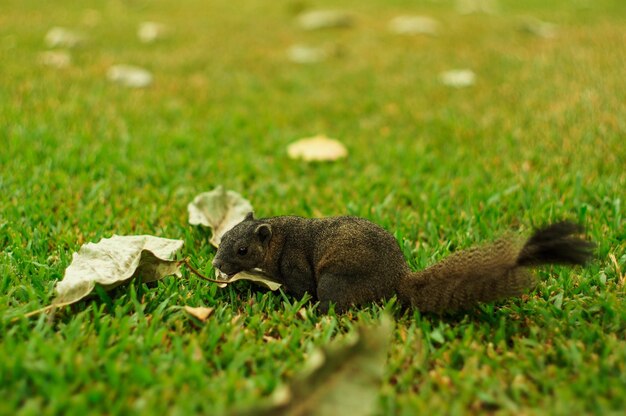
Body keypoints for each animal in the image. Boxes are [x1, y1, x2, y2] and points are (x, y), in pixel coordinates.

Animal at [210, 213, 588, 314]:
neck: (281, 237)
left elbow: (301, 288)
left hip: (334, 281)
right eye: (223, 236)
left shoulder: (296, 268)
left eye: (242, 250)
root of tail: (399, 278)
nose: (216, 263)